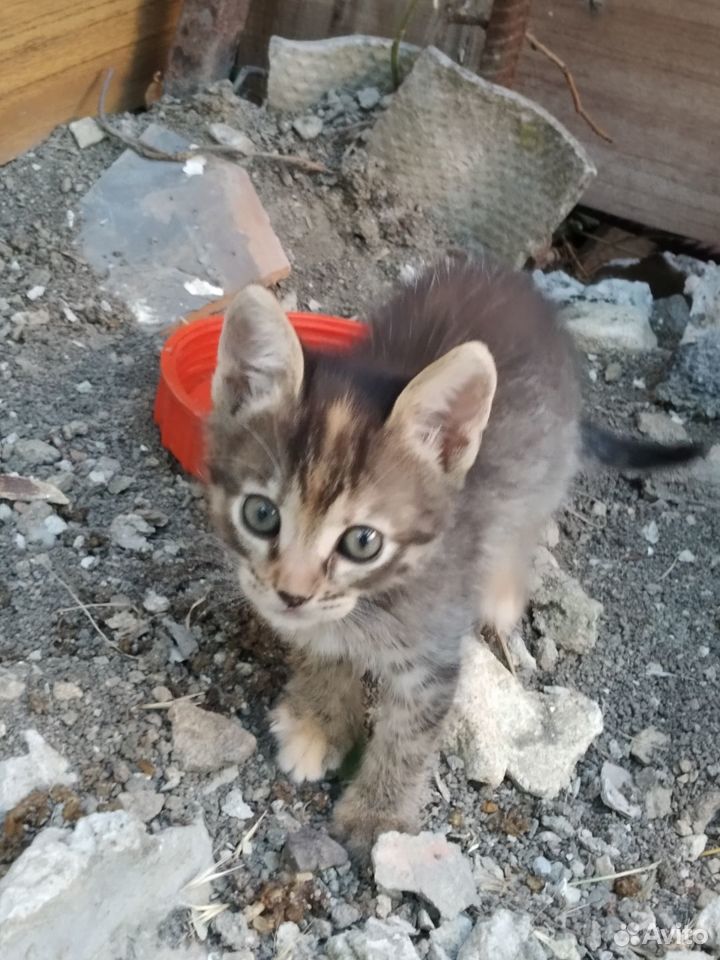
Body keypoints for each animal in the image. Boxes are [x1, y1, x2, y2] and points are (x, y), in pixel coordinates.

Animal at [207, 256, 704, 856]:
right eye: (261, 514)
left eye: (362, 542)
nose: (291, 593)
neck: (374, 599)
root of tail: (517, 283)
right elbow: (322, 653)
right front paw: (320, 722)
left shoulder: (433, 655)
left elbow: (408, 735)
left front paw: (377, 813)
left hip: (540, 473)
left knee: (523, 527)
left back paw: (503, 597)